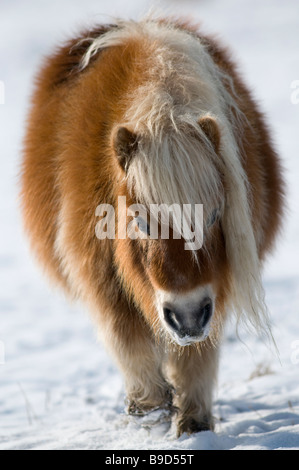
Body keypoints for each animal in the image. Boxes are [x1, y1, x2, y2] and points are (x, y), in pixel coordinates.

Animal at [21, 19, 286, 436]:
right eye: (141, 221)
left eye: (215, 216)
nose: (188, 314)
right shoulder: (101, 279)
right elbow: (131, 345)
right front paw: (149, 414)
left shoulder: (214, 291)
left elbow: (195, 355)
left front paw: (194, 425)